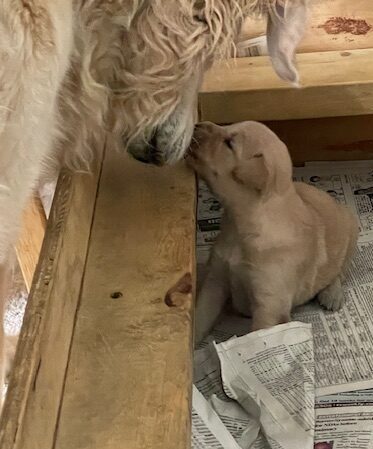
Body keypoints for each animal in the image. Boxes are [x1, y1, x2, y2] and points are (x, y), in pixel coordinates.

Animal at [187, 121, 358, 342]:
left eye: (230, 143)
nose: (197, 125)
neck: (239, 225)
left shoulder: (270, 307)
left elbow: (260, 337)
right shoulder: (216, 280)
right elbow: (200, 317)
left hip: (351, 228)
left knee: (339, 272)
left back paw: (332, 295)